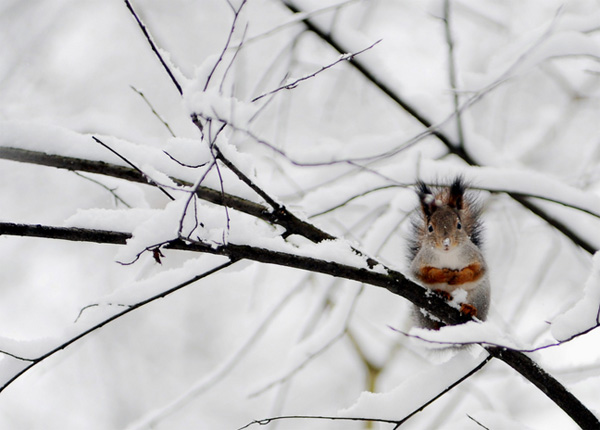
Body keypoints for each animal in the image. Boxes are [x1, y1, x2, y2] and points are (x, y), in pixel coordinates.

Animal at [406, 176, 490, 330]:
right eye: (430, 228)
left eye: (459, 225)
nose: (446, 243)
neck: (448, 255)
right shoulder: (421, 261)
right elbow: (422, 273)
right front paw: (443, 274)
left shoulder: (476, 257)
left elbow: (476, 270)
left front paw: (459, 276)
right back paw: (442, 295)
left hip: (481, 296)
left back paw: (469, 308)